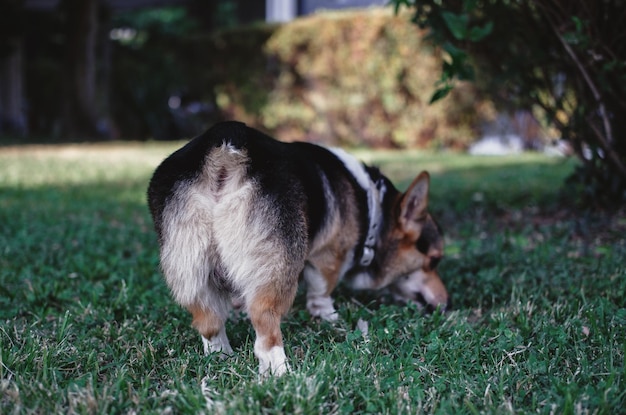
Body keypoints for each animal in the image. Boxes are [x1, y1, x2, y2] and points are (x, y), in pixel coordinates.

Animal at [147, 121, 448, 376]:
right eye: (434, 260)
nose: (447, 305)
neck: (372, 210)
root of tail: (226, 149)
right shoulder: (327, 257)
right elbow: (321, 292)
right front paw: (330, 317)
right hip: (279, 266)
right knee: (265, 324)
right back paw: (281, 372)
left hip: (191, 267)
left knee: (208, 322)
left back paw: (221, 358)